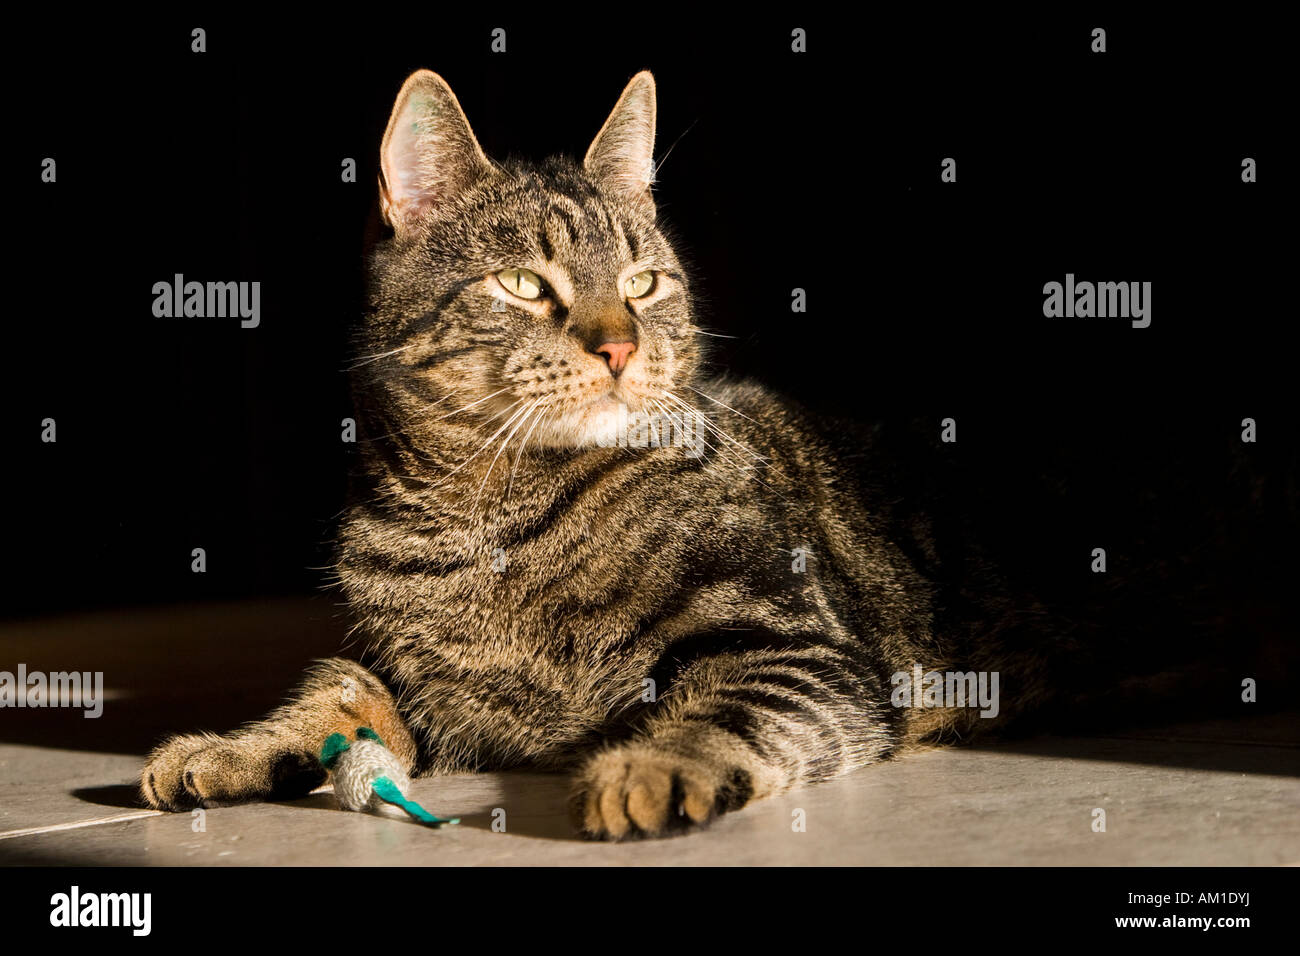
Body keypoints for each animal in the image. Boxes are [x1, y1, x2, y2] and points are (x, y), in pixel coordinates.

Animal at [139, 69, 1289, 842]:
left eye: (642, 282)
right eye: (525, 285)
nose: (617, 344)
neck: (487, 514)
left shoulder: (792, 641)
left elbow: (715, 708)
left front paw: (647, 767)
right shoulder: (408, 677)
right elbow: (330, 696)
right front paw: (228, 746)